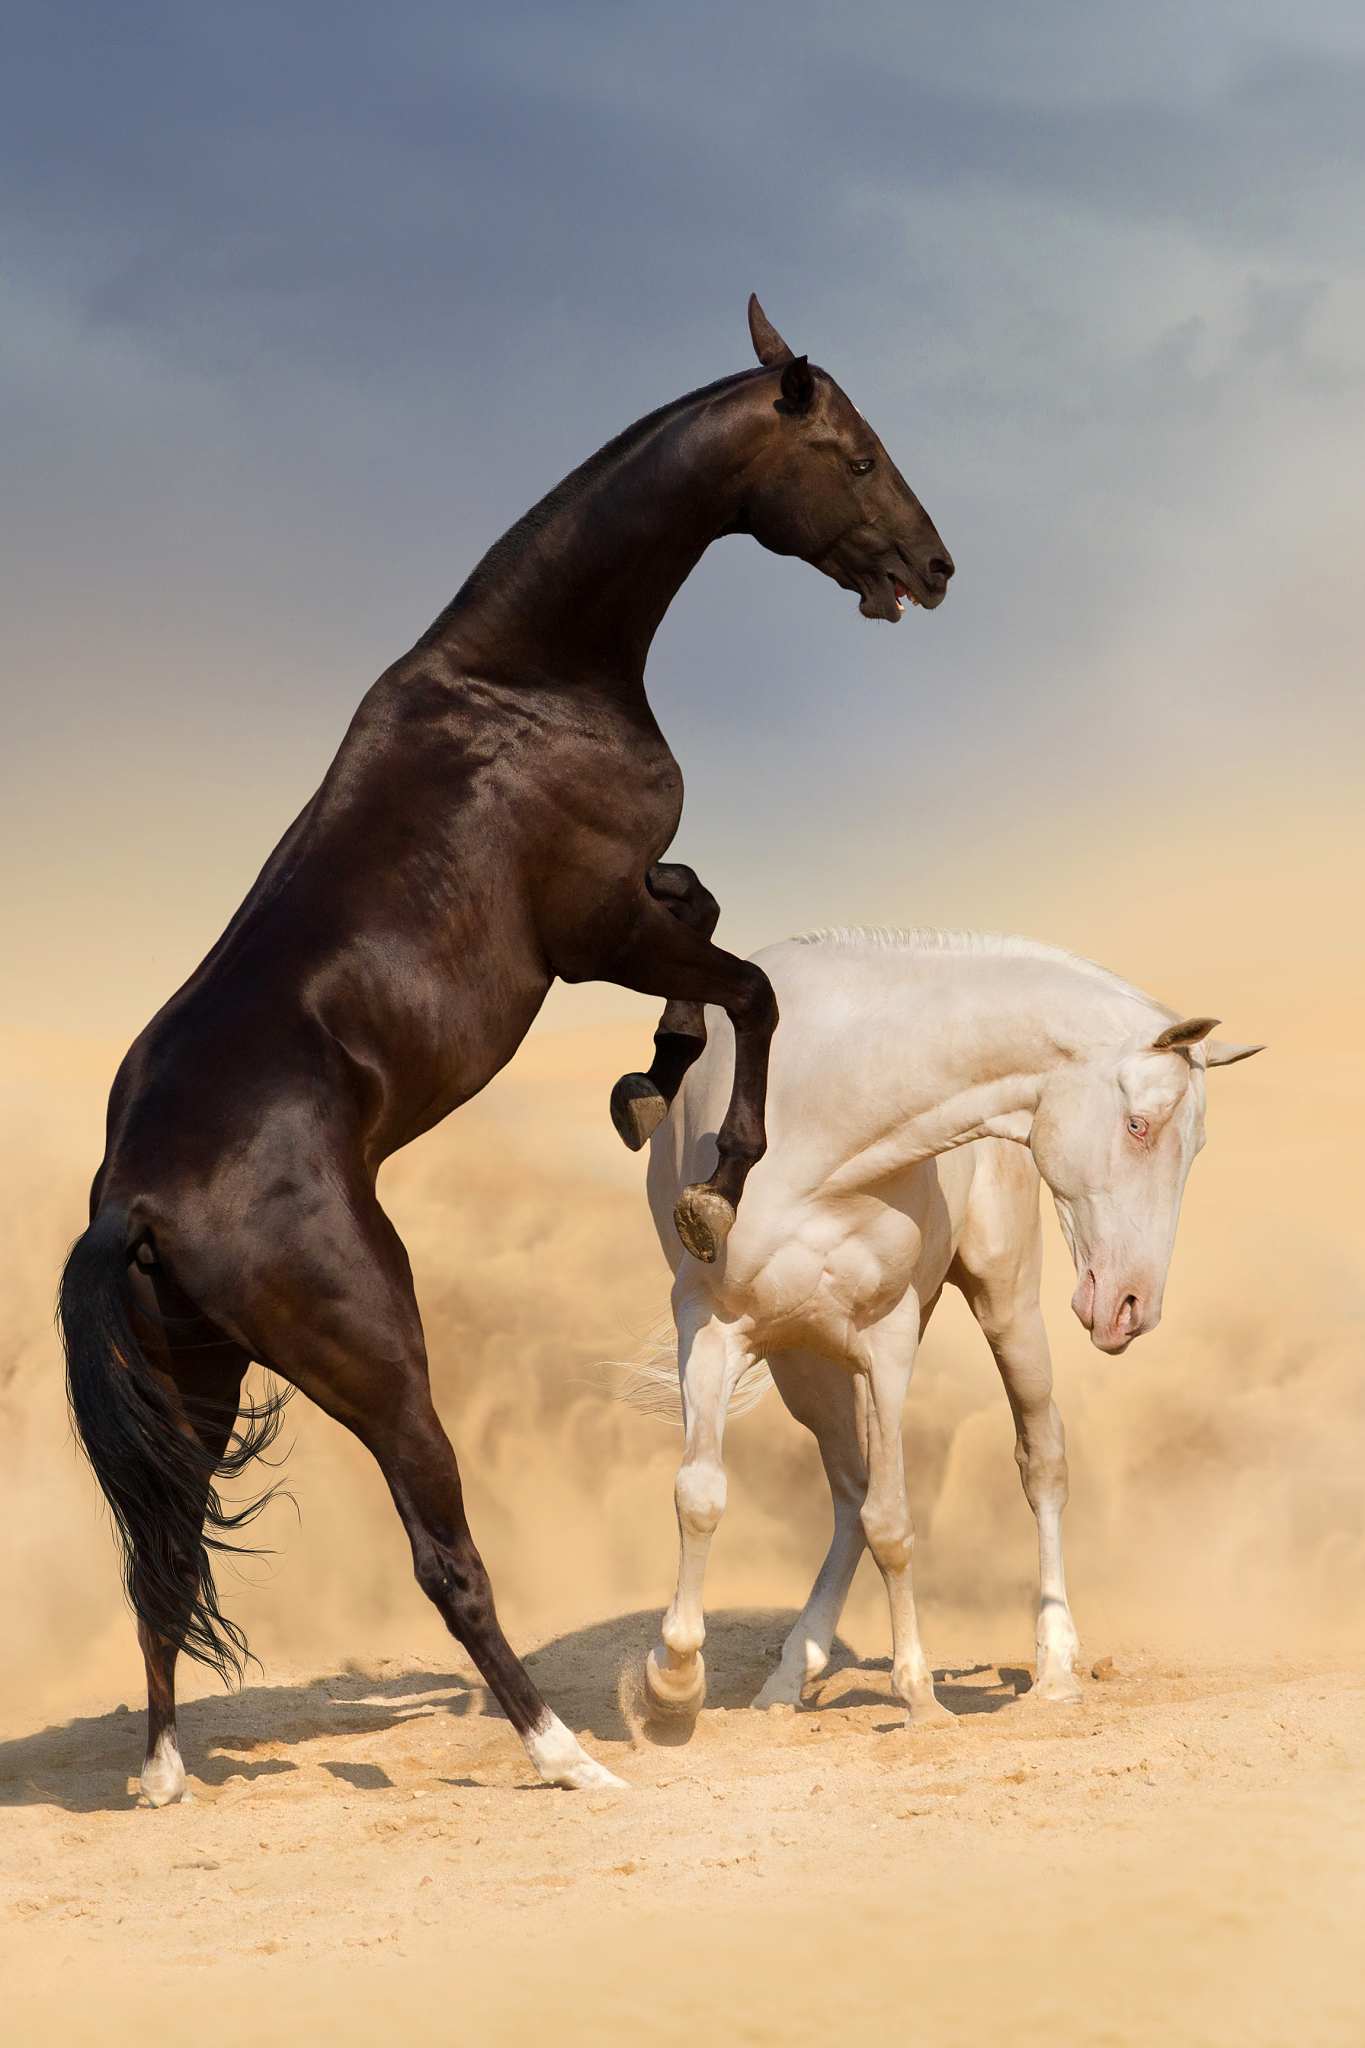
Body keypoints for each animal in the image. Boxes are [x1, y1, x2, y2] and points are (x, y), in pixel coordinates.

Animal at [58, 300, 954, 1807]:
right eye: (852, 451)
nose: (936, 568)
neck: (522, 679)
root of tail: (139, 1195)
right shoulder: (593, 929)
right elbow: (750, 984)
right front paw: (711, 1170)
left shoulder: (630, 908)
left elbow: (709, 921)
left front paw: (646, 1085)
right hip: (381, 1367)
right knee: (445, 1562)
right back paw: (571, 1759)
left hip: (198, 1383)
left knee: (165, 1560)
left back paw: (166, 1775)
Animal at [632, 928, 1261, 1723]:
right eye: (1138, 1126)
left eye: (1196, 1146)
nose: (1132, 1306)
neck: (824, 1108)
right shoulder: (711, 1330)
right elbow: (701, 1493)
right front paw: (672, 1683)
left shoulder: (888, 1341)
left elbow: (893, 1522)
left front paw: (919, 1697)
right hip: (803, 1365)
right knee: (847, 1492)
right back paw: (786, 1680)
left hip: (1004, 1306)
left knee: (1038, 1461)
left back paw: (1055, 1666)